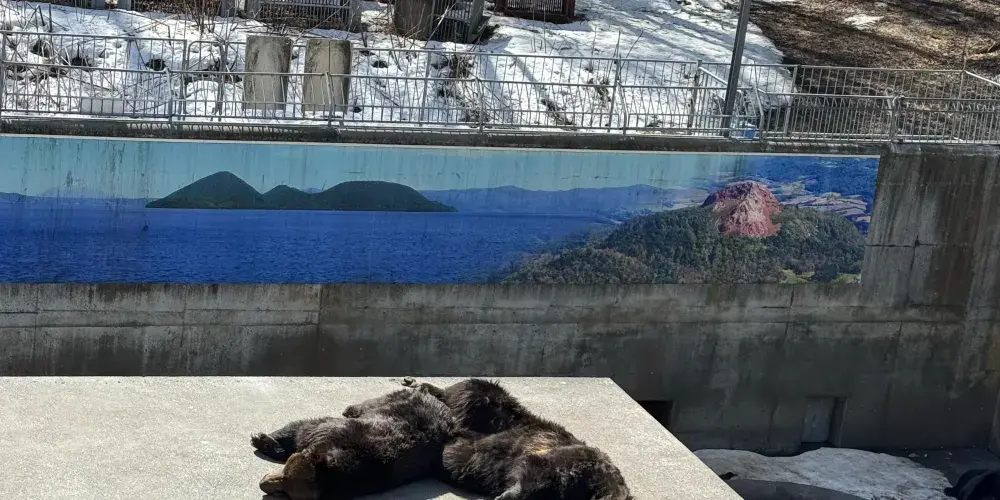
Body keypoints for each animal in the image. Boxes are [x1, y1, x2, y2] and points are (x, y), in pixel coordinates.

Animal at [251, 388, 457, 499]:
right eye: (285, 470)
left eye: (285, 492)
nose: (262, 483)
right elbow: (298, 429)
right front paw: (266, 441)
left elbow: (302, 427)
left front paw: (263, 440)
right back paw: (351, 409)